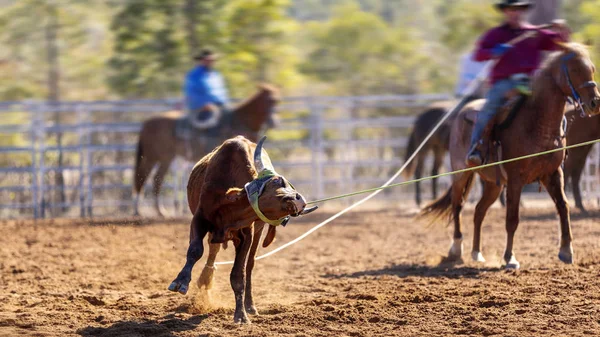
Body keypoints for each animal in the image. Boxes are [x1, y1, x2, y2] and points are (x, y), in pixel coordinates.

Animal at [132, 84, 280, 215]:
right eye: (269, 101)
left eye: (277, 101)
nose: (274, 122)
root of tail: (146, 124)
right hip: (156, 157)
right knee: (145, 178)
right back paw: (141, 210)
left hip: (165, 158)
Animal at [420, 44, 600, 268]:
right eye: (575, 69)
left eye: (592, 68)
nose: (594, 103)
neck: (537, 124)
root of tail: (463, 112)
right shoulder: (516, 179)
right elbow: (512, 219)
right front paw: (510, 258)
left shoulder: (553, 174)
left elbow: (563, 207)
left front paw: (566, 251)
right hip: (461, 172)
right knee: (457, 206)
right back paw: (456, 249)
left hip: (493, 184)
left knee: (479, 211)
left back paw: (477, 252)